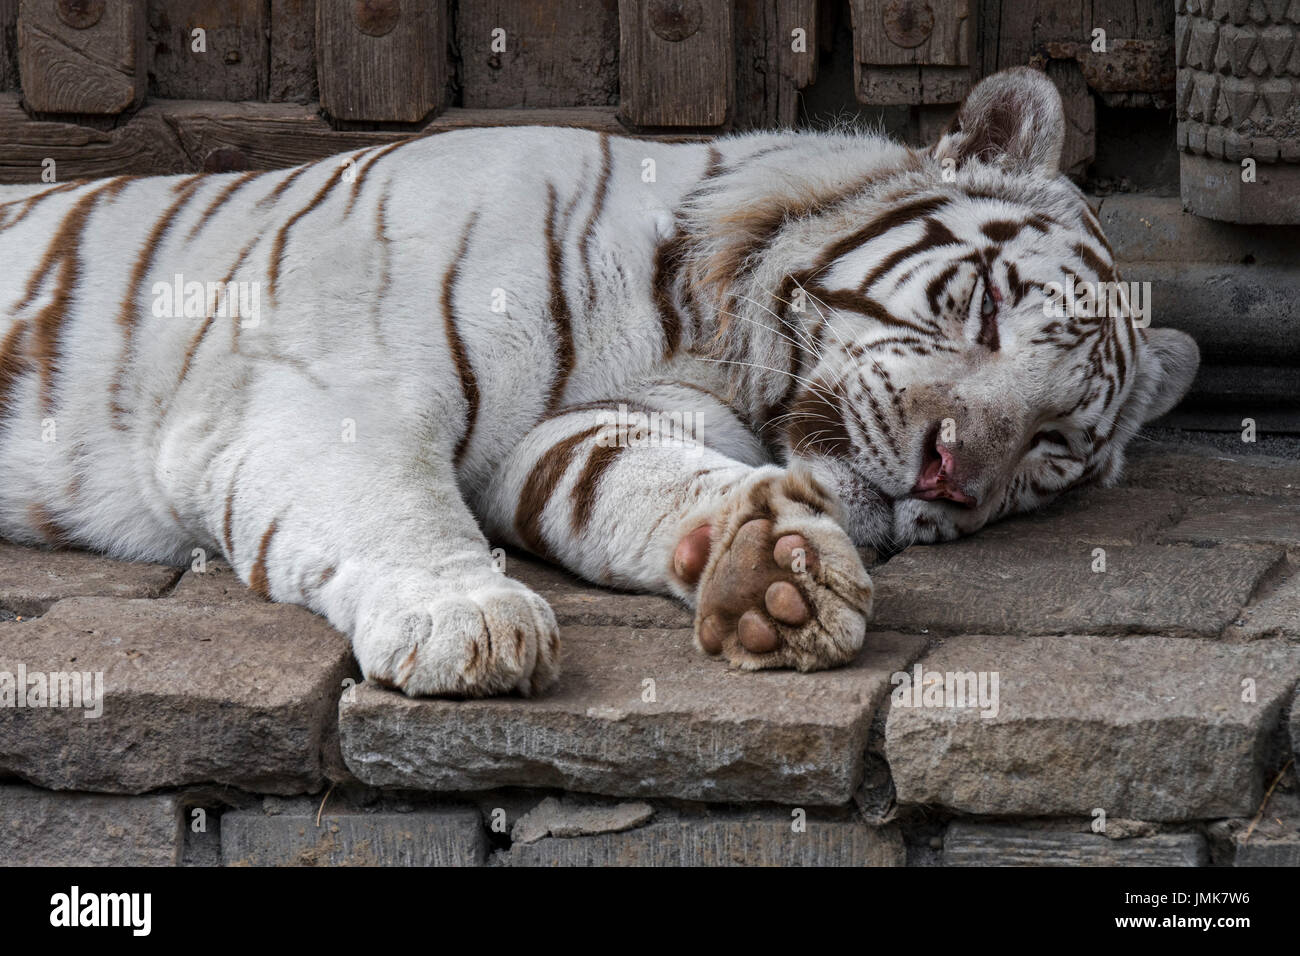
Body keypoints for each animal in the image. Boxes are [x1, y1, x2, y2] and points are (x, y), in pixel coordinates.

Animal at [0, 68, 1198, 697]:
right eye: (986, 308)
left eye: (1051, 447)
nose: (951, 475)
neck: (701, 327)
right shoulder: (325, 378)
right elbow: (394, 500)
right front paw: (468, 621)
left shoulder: (585, 431)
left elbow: (632, 481)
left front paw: (771, 570)